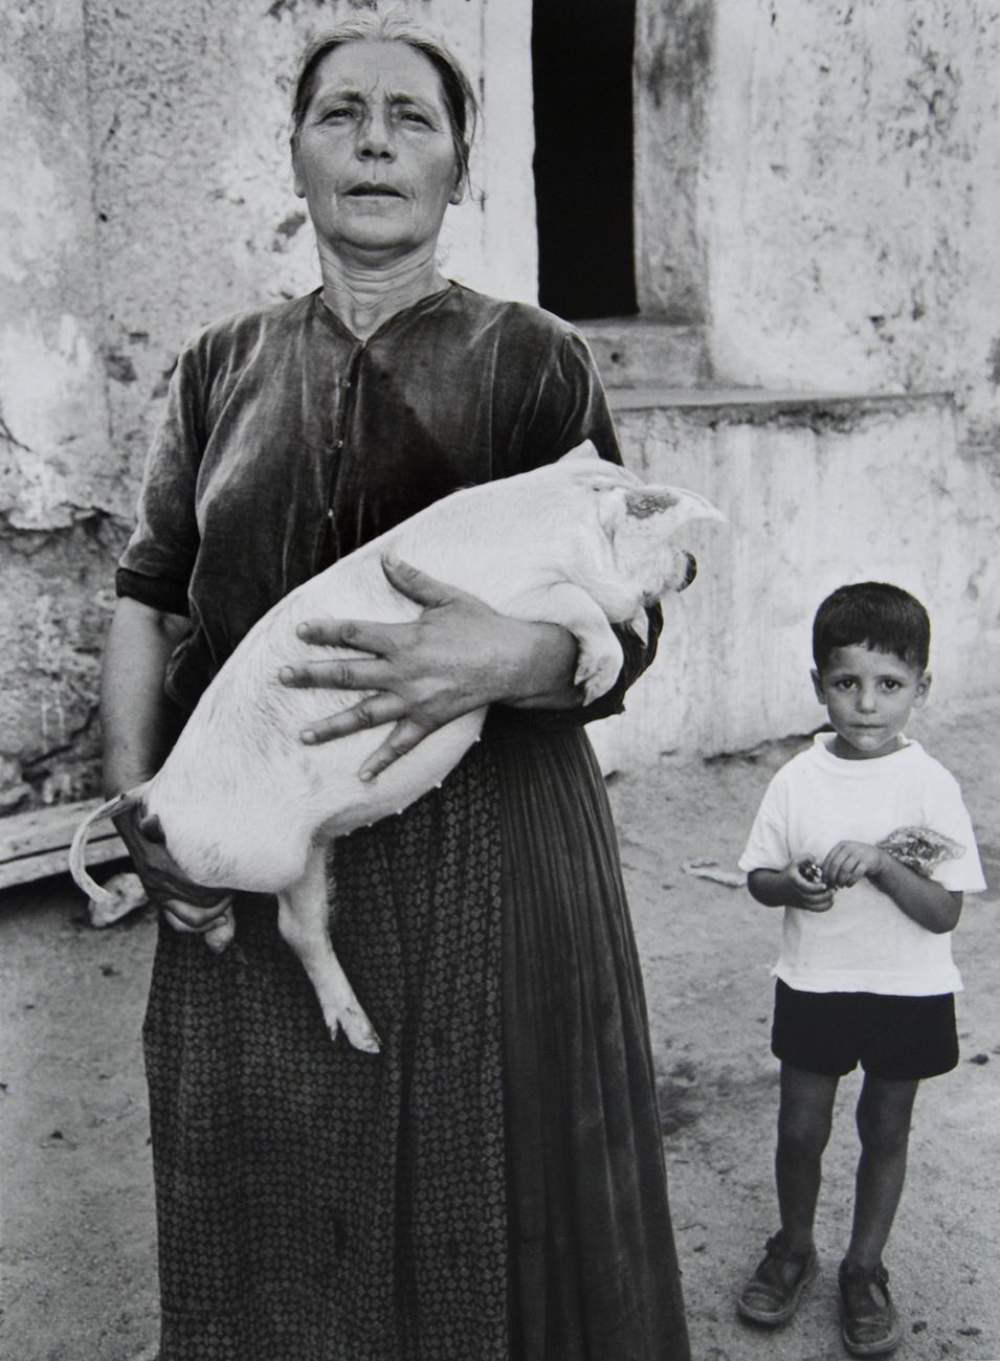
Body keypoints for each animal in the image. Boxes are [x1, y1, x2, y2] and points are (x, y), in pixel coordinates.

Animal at [70, 442, 723, 1051]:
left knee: (296, 928)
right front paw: (597, 677)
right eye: (666, 536)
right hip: (254, 855)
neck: (563, 528)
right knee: (237, 902)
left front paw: (630, 635)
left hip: (305, 853)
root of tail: (158, 793)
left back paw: (363, 1039)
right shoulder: (514, 601)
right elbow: (579, 605)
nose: (693, 564)